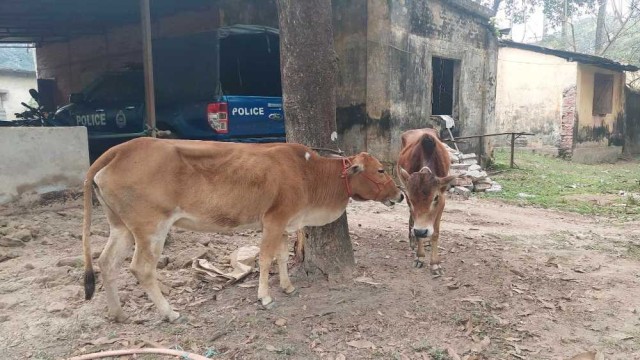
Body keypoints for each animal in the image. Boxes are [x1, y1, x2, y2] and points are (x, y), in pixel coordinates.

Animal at [80, 136, 400, 322]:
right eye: (381, 170)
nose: (399, 195)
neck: (309, 174)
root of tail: (121, 148)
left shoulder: (284, 223)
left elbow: (281, 257)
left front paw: (287, 286)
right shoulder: (273, 220)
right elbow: (265, 258)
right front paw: (265, 297)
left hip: (121, 226)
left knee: (106, 262)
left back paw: (117, 313)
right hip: (151, 228)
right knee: (141, 269)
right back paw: (170, 312)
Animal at [398, 128, 458, 274]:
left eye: (435, 198)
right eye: (412, 199)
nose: (421, 231)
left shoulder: (442, 200)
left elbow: (435, 233)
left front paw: (435, 263)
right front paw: (419, 257)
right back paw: (412, 239)